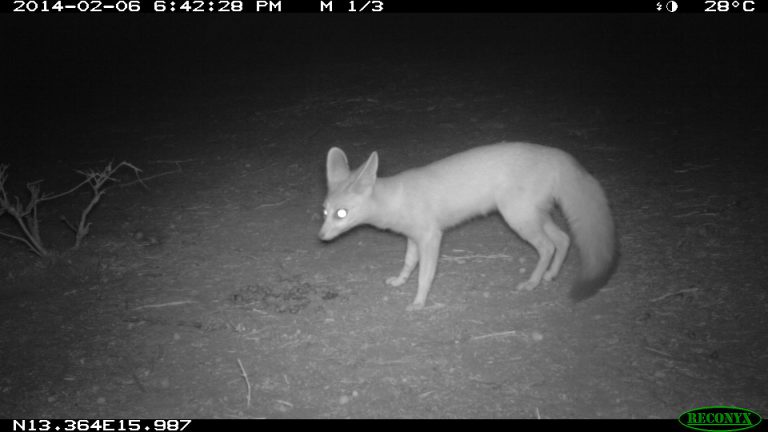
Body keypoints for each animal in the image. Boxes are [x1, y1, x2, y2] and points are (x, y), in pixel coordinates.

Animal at [318, 142, 617, 311]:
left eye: (342, 214)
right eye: (324, 212)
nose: (320, 237)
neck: (397, 198)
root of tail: (556, 154)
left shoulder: (431, 237)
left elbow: (425, 275)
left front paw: (419, 302)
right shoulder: (413, 238)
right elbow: (409, 263)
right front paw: (400, 281)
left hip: (519, 219)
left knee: (546, 246)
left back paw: (532, 282)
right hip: (533, 216)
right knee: (563, 239)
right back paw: (550, 275)